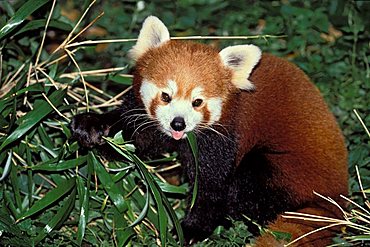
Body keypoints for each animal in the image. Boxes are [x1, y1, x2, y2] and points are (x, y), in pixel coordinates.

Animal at [71, 16, 348, 246]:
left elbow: (209, 187)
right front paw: (92, 126)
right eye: (166, 96)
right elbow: (136, 137)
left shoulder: (222, 138)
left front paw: (192, 228)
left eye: (197, 102)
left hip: (287, 173)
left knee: (248, 185)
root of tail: (337, 201)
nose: (178, 123)